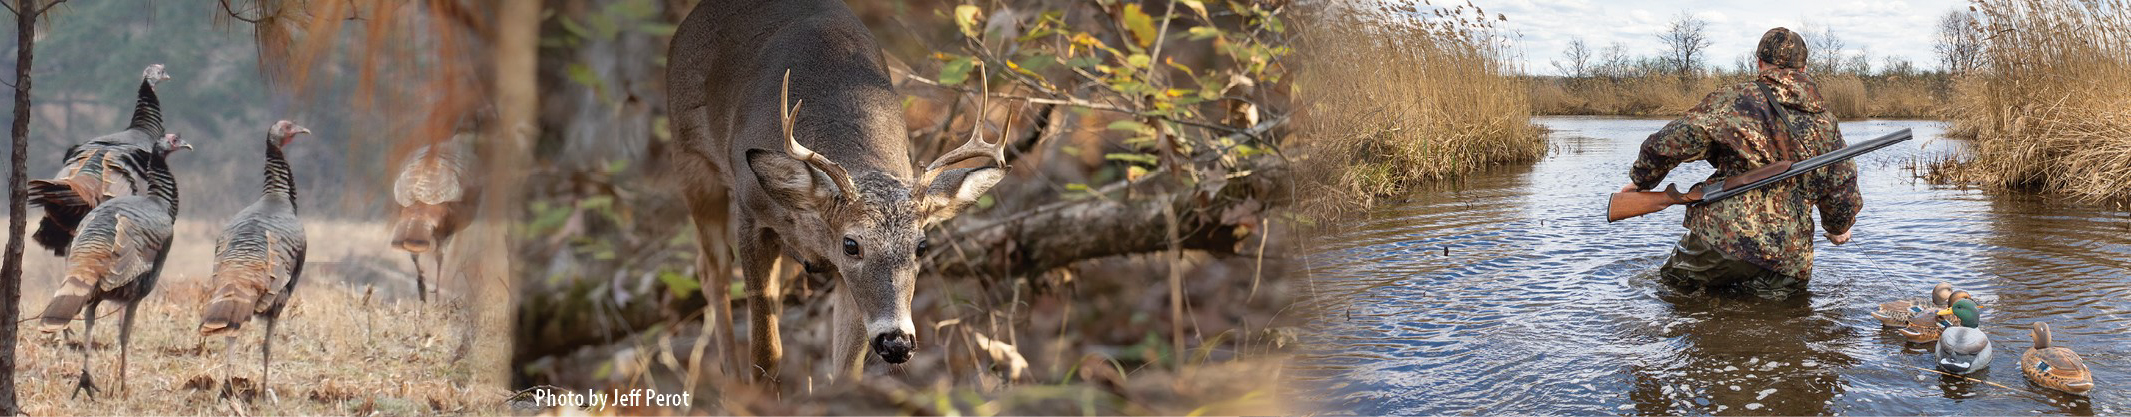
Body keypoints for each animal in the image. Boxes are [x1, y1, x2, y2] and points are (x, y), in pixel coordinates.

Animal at [666, 0, 1007, 382]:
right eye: (851, 244)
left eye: (922, 246)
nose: (896, 342)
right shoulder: (751, 215)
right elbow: (765, 354)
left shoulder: (842, 276)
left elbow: (847, 368)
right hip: (690, 159)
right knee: (713, 272)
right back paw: (731, 381)